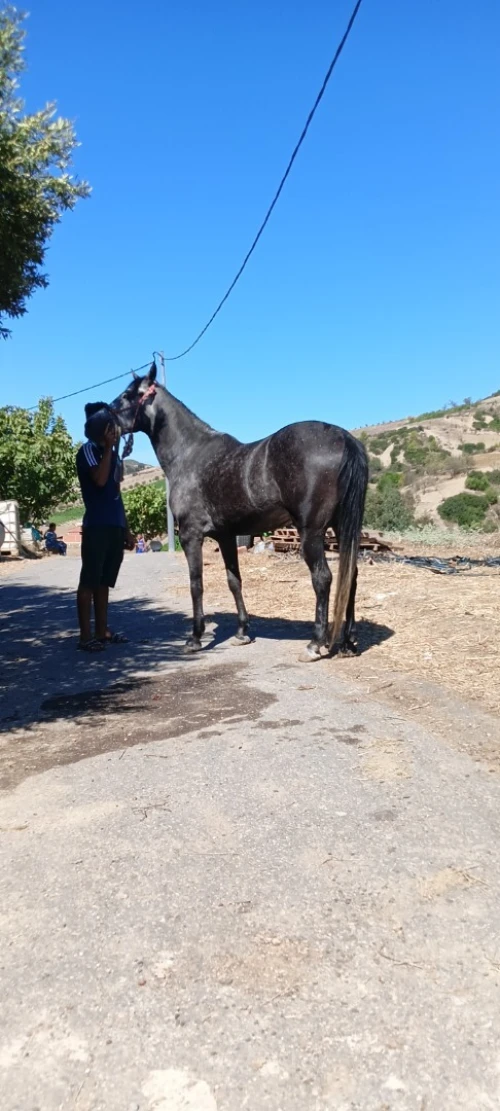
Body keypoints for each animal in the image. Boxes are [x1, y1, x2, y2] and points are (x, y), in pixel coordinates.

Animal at [110, 364, 368, 661]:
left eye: (127, 395)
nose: (103, 418)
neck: (189, 455)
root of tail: (344, 438)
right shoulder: (226, 537)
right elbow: (234, 581)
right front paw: (242, 632)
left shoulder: (191, 535)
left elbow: (196, 584)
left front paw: (195, 638)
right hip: (343, 527)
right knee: (351, 576)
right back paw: (348, 643)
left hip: (311, 533)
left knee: (323, 578)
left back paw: (315, 644)